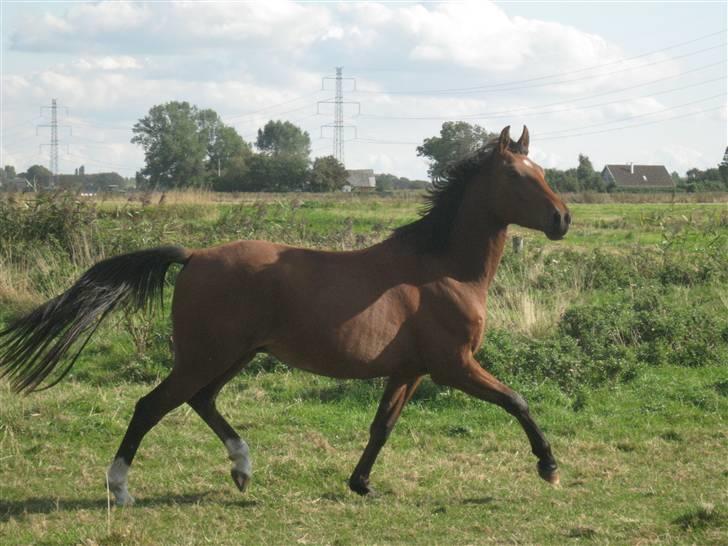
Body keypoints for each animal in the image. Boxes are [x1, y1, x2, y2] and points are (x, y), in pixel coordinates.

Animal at [0, 125, 568, 504]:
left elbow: (381, 427)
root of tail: (194, 256)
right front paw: (549, 466)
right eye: (517, 175)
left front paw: (361, 484)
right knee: (151, 405)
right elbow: (516, 401)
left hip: (233, 355)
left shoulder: (409, 370)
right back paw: (120, 488)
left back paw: (242, 469)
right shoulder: (454, 365)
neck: (441, 271)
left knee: (201, 401)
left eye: (542, 172)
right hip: (206, 357)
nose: (563, 219)